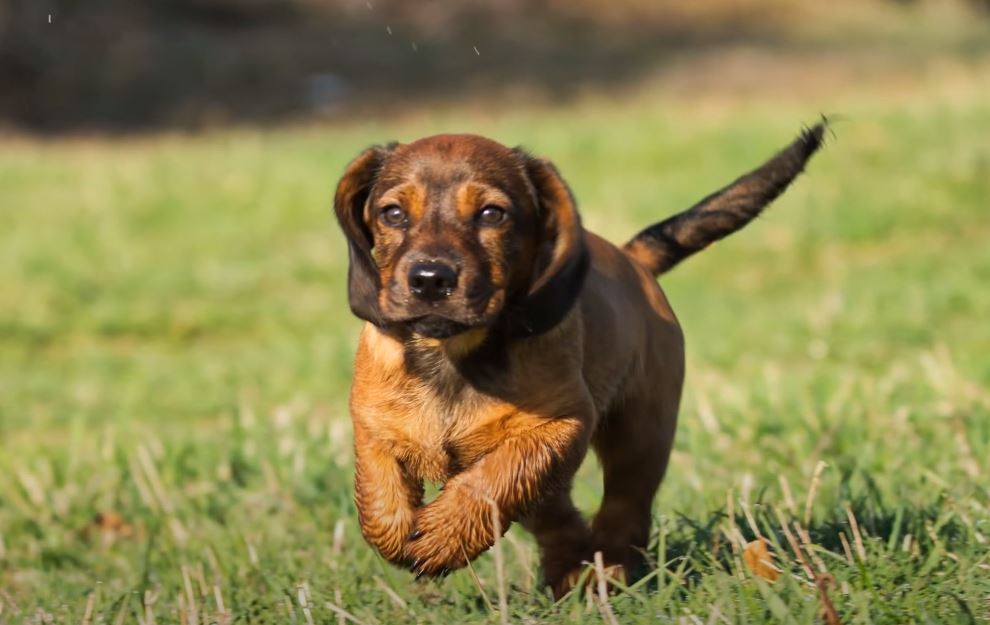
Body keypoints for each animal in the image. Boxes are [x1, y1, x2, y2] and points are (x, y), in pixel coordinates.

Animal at [336, 124, 828, 596]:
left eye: (492, 214)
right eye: (392, 213)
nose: (429, 279)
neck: (454, 356)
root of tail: (633, 259)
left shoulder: (562, 424)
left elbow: (495, 477)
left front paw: (442, 537)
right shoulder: (371, 424)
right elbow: (378, 495)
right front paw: (402, 535)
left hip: (641, 437)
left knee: (622, 513)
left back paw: (605, 575)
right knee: (559, 518)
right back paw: (570, 571)